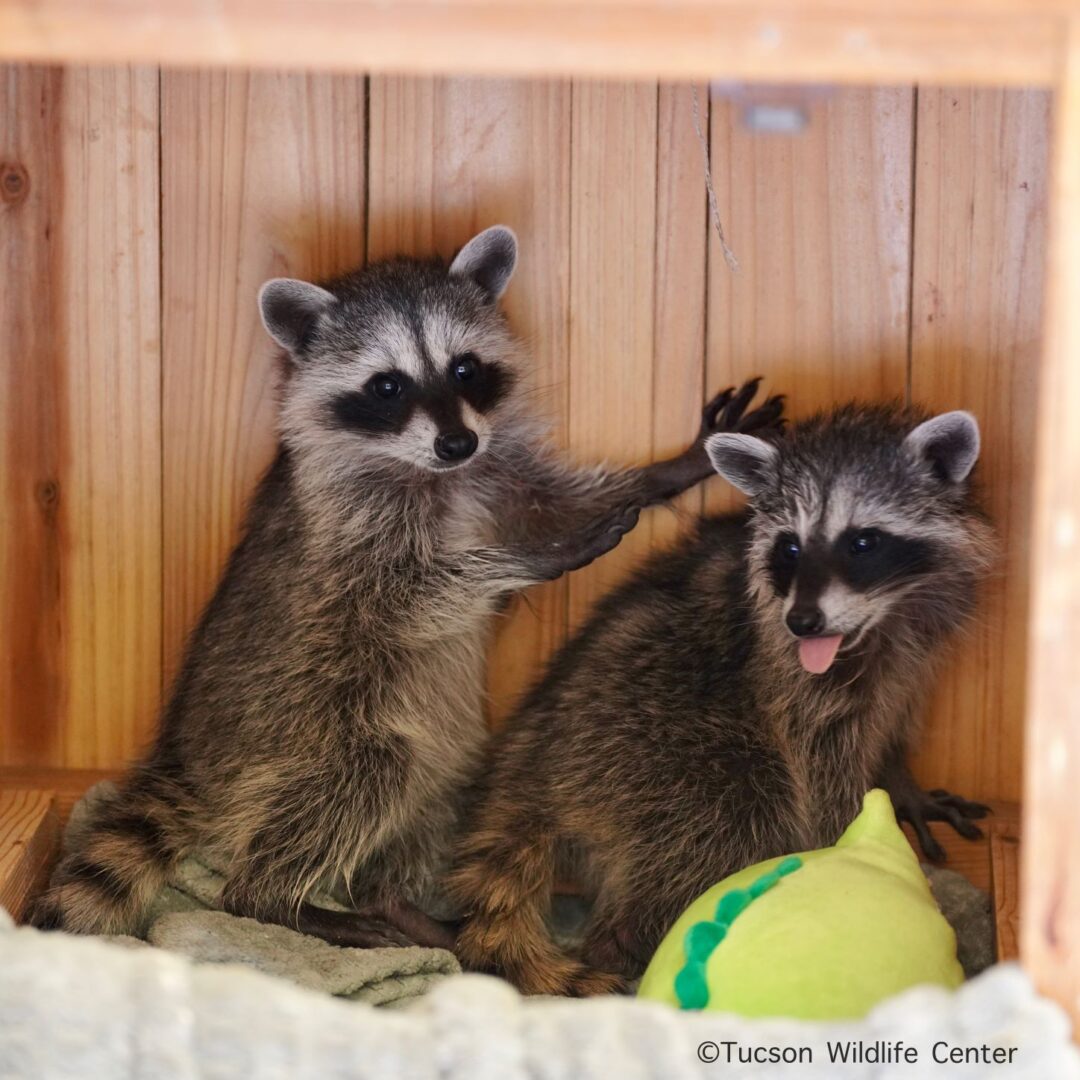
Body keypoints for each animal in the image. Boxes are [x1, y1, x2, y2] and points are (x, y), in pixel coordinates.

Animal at [29, 223, 781, 950]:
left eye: (464, 368)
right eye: (387, 386)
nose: (457, 443)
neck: (433, 471)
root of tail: (188, 761)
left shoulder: (496, 470)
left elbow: (552, 500)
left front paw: (668, 470)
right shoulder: (348, 532)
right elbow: (407, 593)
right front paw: (526, 560)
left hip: (437, 752)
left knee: (436, 792)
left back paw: (395, 901)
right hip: (306, 725)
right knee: (362, 774)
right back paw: (278, 899)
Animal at [447, 403, 993, 993]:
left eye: (862, 542)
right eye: (790, 547)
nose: (803, 622)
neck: (881, 621)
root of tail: (529, 769)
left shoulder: (915, 650)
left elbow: (893, 712)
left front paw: (899, 779)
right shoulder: (784, 673)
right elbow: (818, 769)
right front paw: (841, 842)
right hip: (644, 746)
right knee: (737, 809)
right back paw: (628, 946)